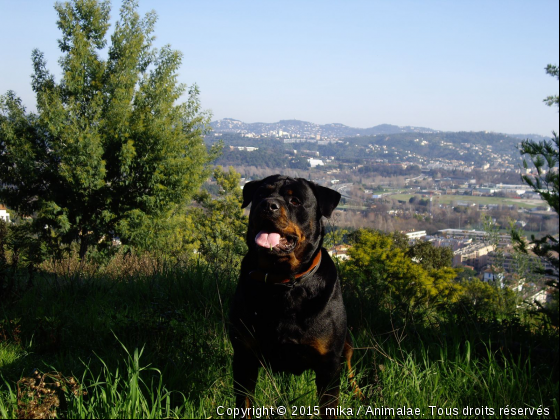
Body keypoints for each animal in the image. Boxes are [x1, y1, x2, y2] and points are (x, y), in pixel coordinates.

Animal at [229, 174, 354, 416]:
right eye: (261, 194)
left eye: (295, 200)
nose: (268, 205)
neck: (282, 282)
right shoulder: (244, 357)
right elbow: (244, 405)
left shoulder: (329, 366)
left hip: (346, 346)